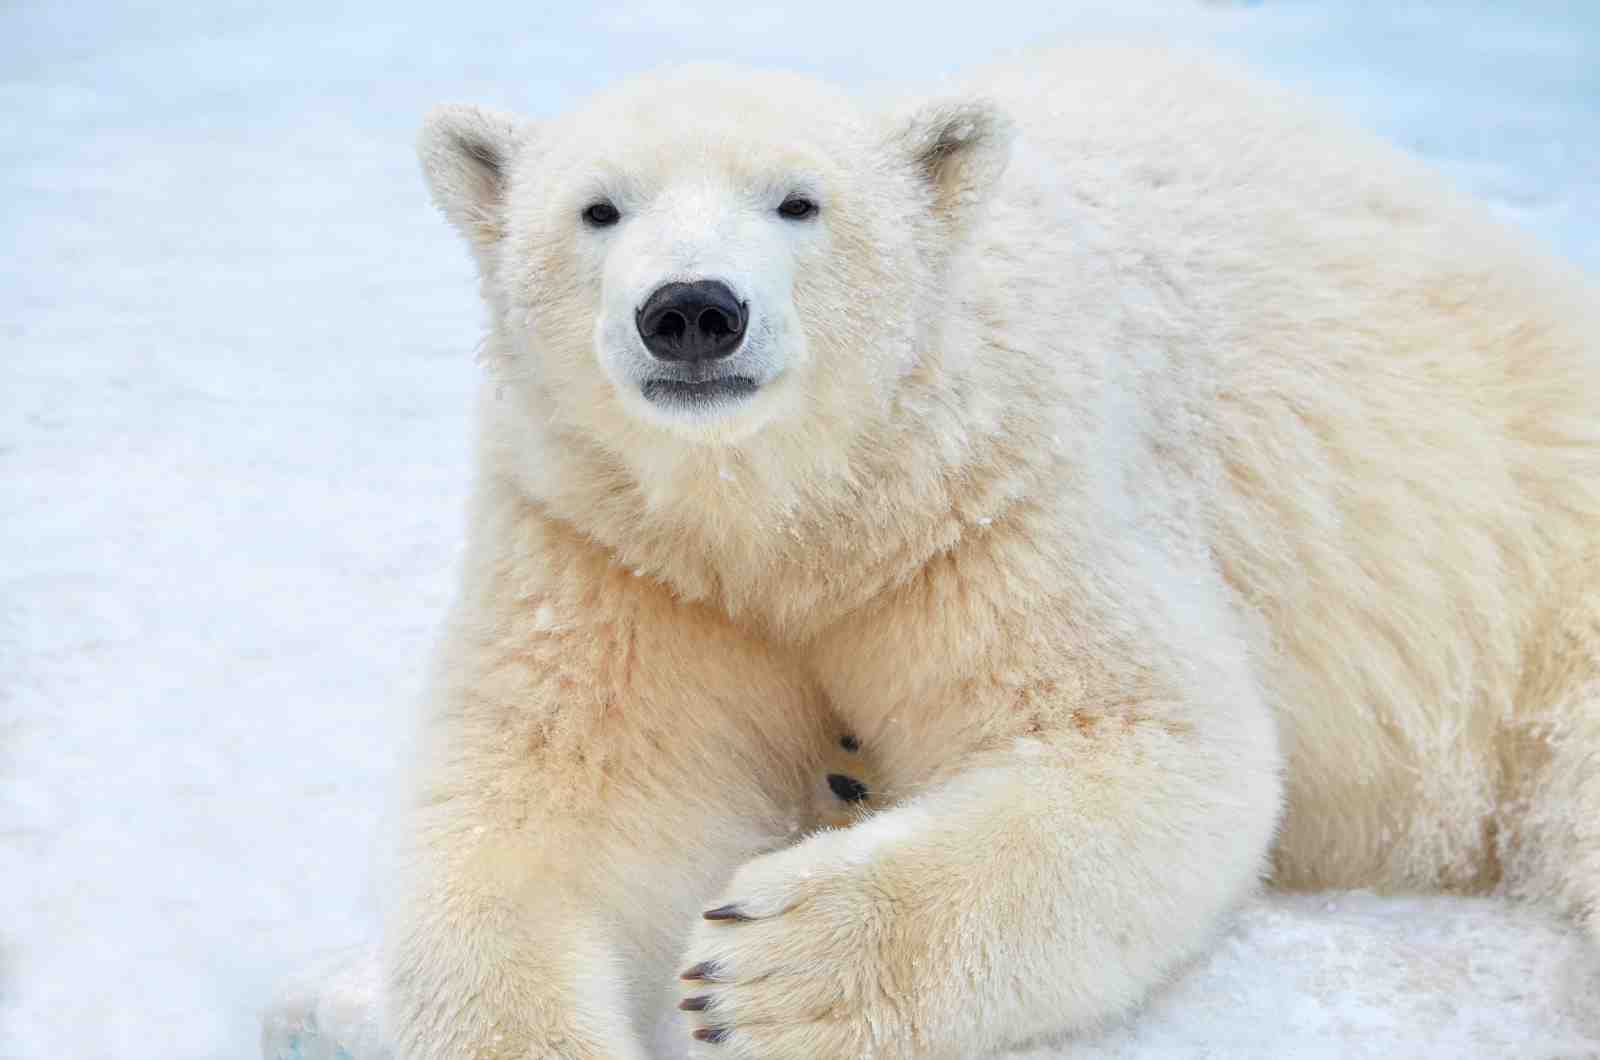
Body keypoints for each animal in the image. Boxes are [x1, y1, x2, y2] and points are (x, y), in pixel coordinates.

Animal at [383, 42, 1600, 1060]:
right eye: (598, 208)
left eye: (798, 201)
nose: (691, 310)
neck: (790, 509)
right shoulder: (616, 552)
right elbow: (556, 810)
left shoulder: (990, 506)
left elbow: (1149, 742)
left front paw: (765, 966)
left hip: (1541, 559)